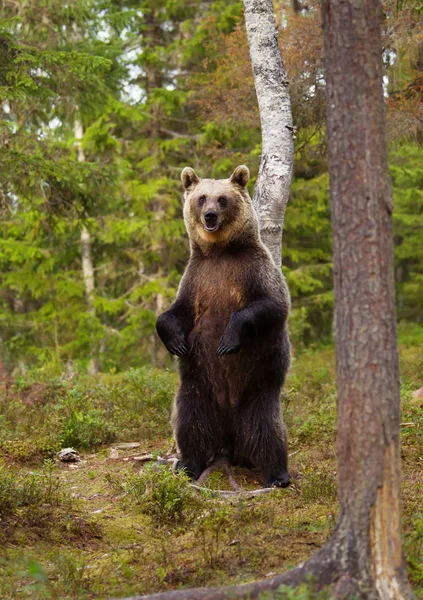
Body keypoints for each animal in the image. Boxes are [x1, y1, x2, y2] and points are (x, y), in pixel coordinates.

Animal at [156, 165, 292, 488]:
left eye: (223, 199)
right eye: (201, 197)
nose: (210, 216)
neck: (220, 253)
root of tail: (229, 440)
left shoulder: (254, 270)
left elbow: (271, 305)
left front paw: (228, 341)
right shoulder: (196, 279)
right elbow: (176, 312)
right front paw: (175, 341)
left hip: (256, 388)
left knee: (266, 428)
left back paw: (277, 474)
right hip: (199, 388)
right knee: (190, 422)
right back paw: (188, 465)